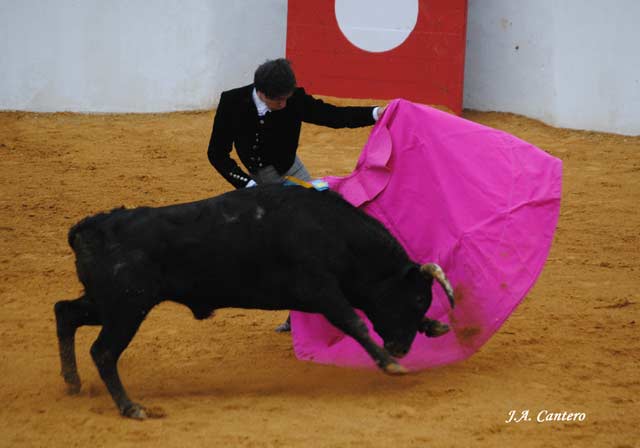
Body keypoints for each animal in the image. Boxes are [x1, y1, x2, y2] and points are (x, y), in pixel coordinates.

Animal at [55, 184, 456, 418]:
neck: (334, 232)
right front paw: (390, 364)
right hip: (126, 308)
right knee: (104, 351)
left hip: (106, 304)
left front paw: (435, 326)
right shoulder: (320, 290)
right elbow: (353, 321)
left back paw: (73, 383)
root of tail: (90, 228)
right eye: (417, 297)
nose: (401, 348)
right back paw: (131, 407)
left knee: (65, 312)